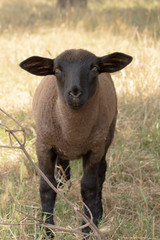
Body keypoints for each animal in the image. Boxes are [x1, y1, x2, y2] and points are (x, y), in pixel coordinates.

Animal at [19, 49, 132, 238]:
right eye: (57, 70)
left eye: (94, 68)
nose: (75, 93)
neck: (73, 134)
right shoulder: (43, 146)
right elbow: (47, 187)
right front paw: (47, 230)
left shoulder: (95, 149)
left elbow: (89, 187)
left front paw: (87, 228)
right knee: (63, 170)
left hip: (107, 136)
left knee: (101, 174)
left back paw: (98, 213)